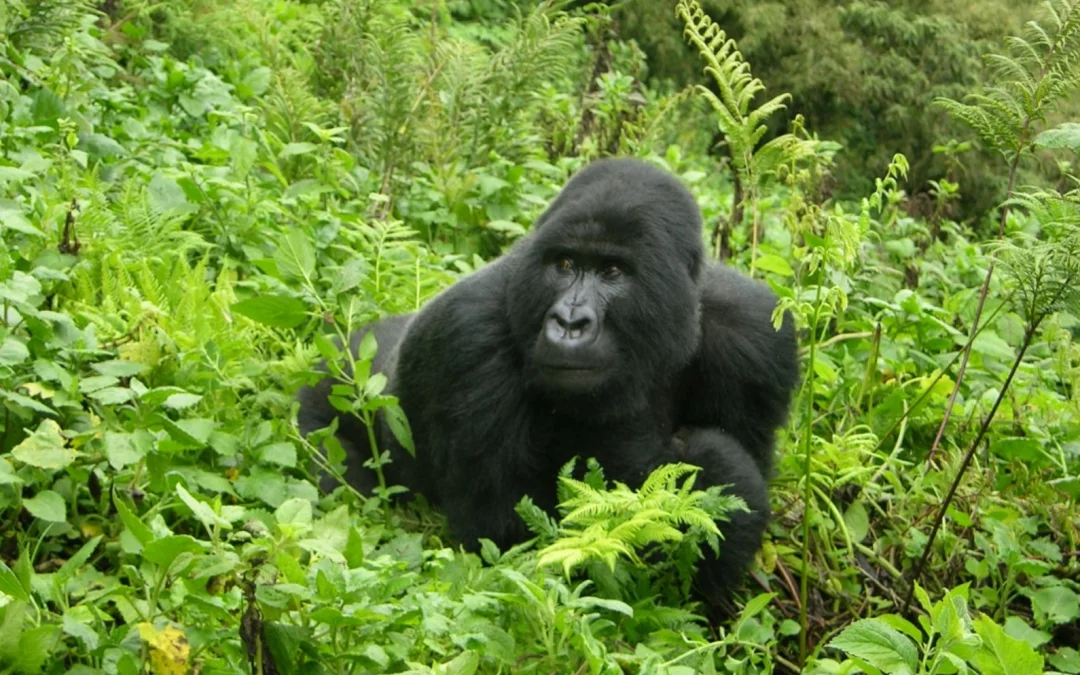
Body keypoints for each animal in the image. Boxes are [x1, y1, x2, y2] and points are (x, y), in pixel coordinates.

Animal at [300, 156, 799, 600]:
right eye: (564, 265)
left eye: (612, 272)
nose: (569, 321)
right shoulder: (468, 336)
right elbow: (509, 541)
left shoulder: (756, 333)